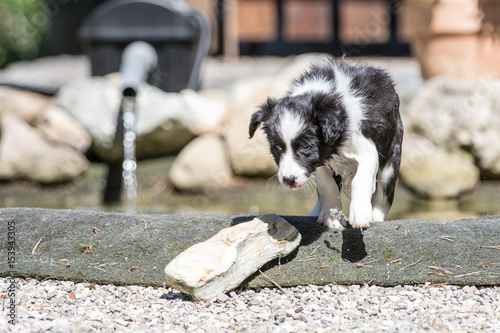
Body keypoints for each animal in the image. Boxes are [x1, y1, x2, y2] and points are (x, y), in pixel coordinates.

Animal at [249, 59, 402, 228]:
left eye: (305, 146)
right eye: (277, 147)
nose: (289, 180)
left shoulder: (366, 150)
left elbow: (360, 179)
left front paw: (360, 215)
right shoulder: (319, 160)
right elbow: (327, 185)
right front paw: (332, 217)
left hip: (391, 159)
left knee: (383, 195)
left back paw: (376, 215)